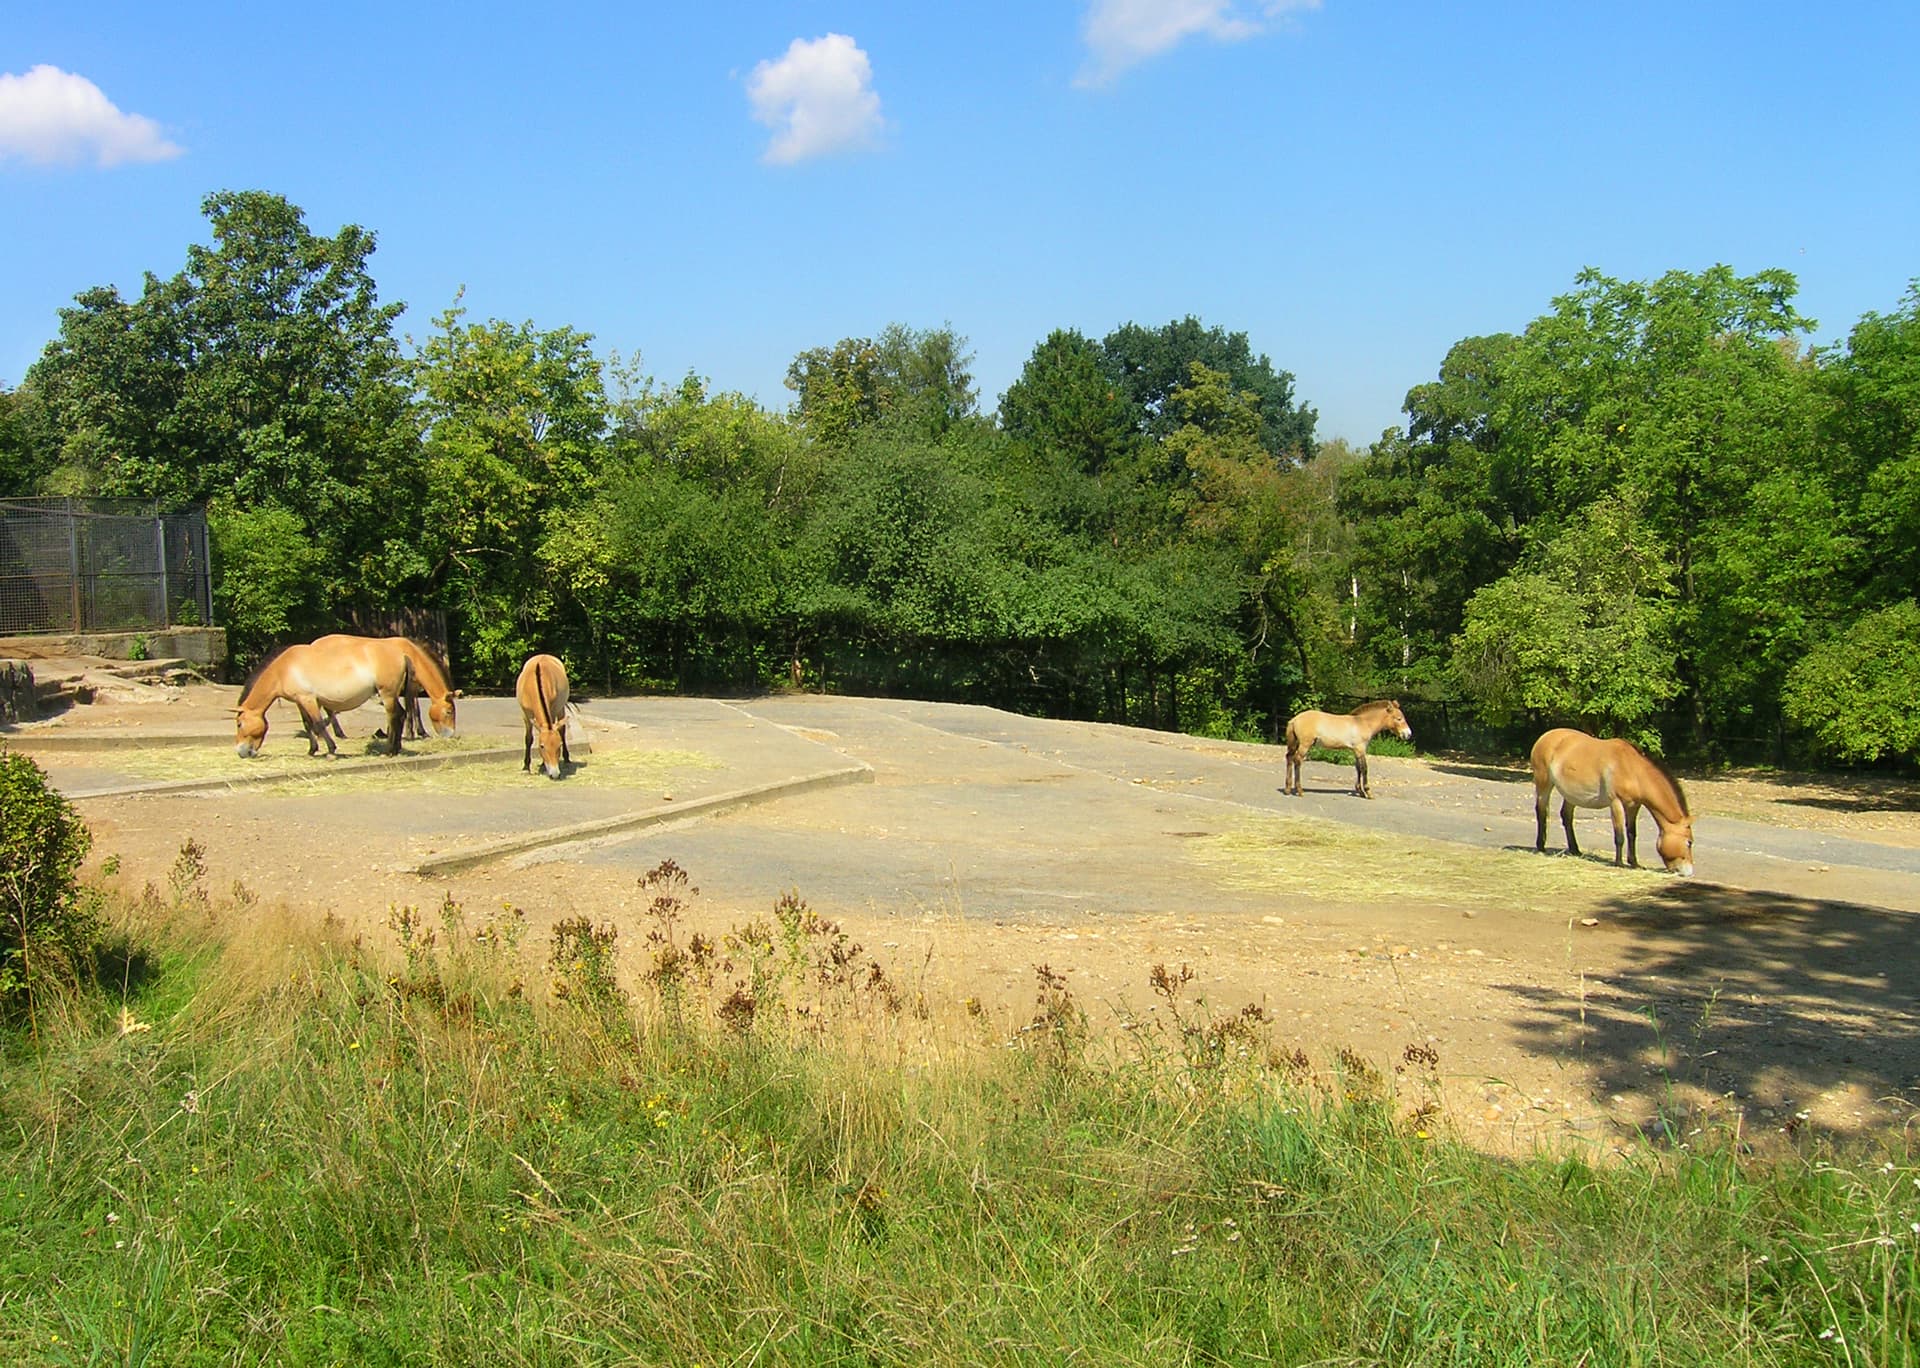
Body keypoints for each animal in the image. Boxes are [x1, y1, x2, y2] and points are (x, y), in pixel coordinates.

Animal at [234, 638, 414, 758]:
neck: (284, 668)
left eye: (239, 724)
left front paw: (331, 751)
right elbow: (308, 724)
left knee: (393, 717)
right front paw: (312, 750)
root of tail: (402, 654)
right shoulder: (300, 702)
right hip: (391, 695)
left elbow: (318, 724)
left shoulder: (308, 699)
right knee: (401, 714)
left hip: (387, 695)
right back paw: (396, 749)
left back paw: (389, 751)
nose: (241, 752)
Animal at [312, 635, 459, 741]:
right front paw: (408, 734)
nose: (450, 734)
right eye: (449, 712)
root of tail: (314, 644)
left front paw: (420, 732)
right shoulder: (402, 689)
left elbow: (415, 710)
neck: (411, 654)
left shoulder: (412, 688)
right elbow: (408, 709)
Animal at [1284, 699, 1413, 798]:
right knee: (1297, 760)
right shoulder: (1361, 749)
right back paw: (1299, 790)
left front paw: (1360, 791)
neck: (1362, 723)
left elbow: (1358, 768)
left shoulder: (1356, 751)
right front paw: (1368, 792)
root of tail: (1294, 720)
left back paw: (1288, 789)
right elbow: (1364, 768)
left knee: (1289, 758)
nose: (1408, 734)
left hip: (1295, 743)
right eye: (1399, 718)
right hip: (1305, 745)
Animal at [1530, 727, 1694, 875]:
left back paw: (1575, 850)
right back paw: (1541, 847)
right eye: (1689, 842)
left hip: (1571, 794)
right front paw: (1619, 863)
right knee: (1541, 811)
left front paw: (1634, 863)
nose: (1689, 872)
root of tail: (1544, 737)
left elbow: (1631, 833)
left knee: (1566, 816)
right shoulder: (1616, 803)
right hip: (1544, 784)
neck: (1633, 770)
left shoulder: (1633, 806)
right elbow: (1619, 836)